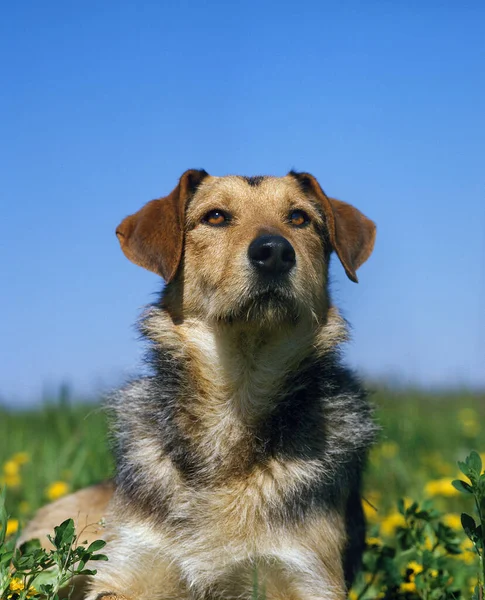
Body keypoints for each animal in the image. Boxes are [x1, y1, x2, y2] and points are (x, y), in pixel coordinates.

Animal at [21, 170, 374, 600]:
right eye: (216, 216)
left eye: (299, 218)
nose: (274, 251)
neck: (233, 403)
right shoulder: (127, 570)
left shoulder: (306, 575)